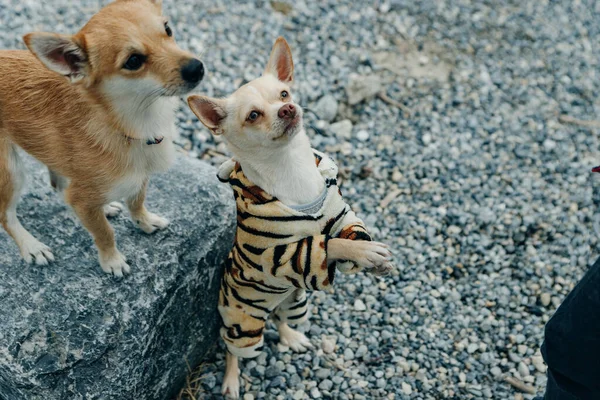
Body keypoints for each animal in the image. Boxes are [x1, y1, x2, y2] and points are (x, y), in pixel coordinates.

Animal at [0, 0, 204, 276]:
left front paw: (144, 221)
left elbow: (137, 200)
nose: (197, 67)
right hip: (11, 172)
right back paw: (31, 246)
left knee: (60, 184)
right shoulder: (82, 199)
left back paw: (104, 206)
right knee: (6, 215)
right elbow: (104, 233)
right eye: (133, 61)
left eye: (168, 29)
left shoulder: (139, 176)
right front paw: (112, 260)